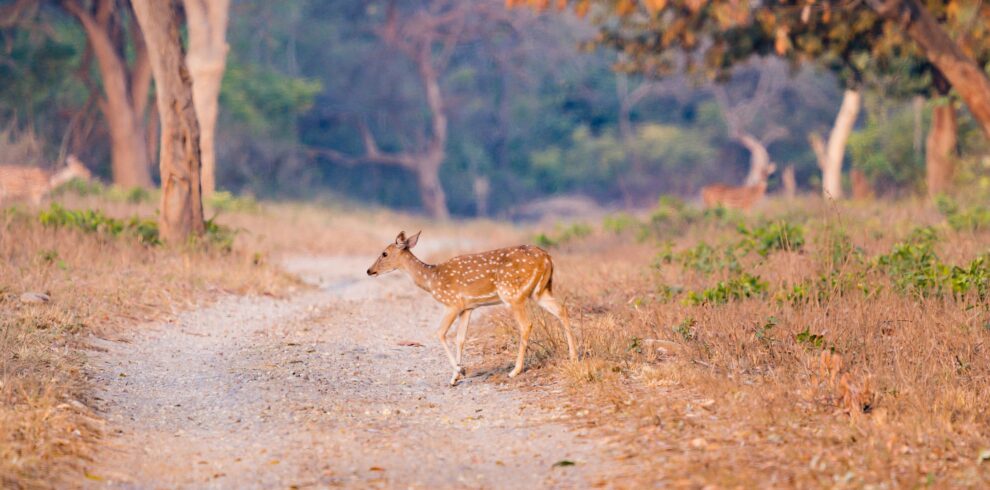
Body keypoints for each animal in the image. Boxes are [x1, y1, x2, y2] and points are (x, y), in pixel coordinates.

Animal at [367, 231, 578, 386]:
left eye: (384, 253)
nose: (369, 270)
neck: (431, 280)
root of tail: (548, 258)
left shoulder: (452, 303)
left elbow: (440, 333)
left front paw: (459, 372)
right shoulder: (468, 308)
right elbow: (460, 339)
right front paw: (456, 376)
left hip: (512, 294)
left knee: (526, 325)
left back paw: (515, 371)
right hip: (540, 291)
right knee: (562, 309)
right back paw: (573, 357)